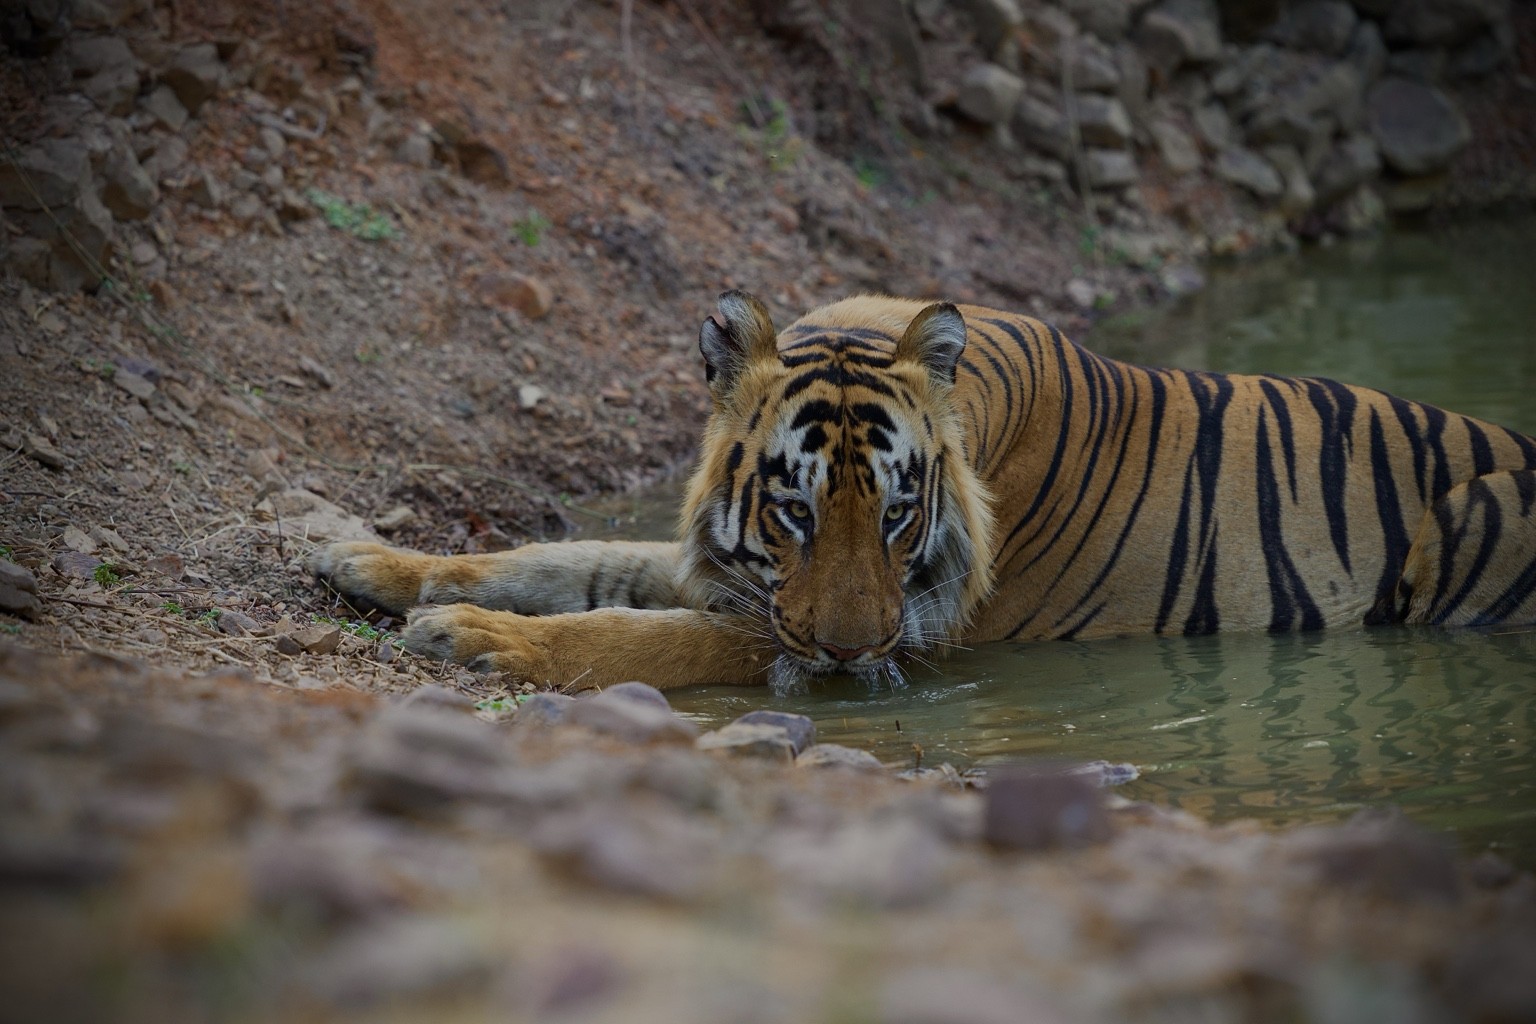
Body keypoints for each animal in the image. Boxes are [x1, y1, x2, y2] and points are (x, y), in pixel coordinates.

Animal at [310, 292, 1536, 693]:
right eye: (795, 512)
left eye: (899, 515)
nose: (854, 655)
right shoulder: (748, 580)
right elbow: (561, 560)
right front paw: (360, 555)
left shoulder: (902, 623)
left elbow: (639, 634)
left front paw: (474, 637)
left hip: (1482, 514)